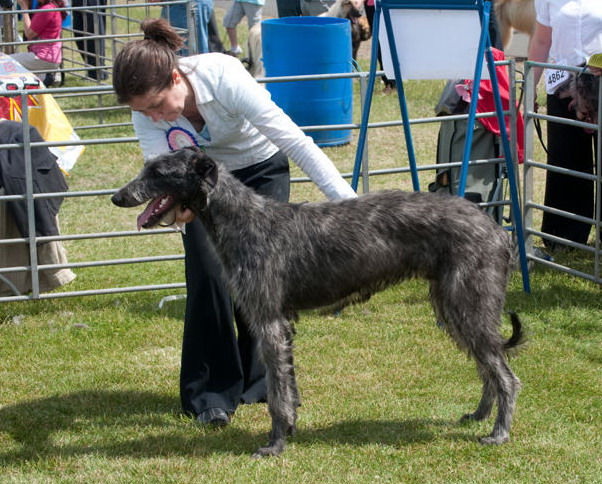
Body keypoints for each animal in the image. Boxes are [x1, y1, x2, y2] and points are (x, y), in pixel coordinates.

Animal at [111, 147, 520, 458]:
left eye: (159, 172)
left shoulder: (269, 323)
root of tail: (497, 230)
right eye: (147, 166)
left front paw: (274, 444)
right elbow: (287, 387)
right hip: (454, 307)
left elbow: (277, 393)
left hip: (469, 303)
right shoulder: (281, 323)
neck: (243, 220)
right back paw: (480, 414)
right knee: (488, 367)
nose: (117, 197)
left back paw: (499, 432)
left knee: (505, 375)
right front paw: (289, 430)